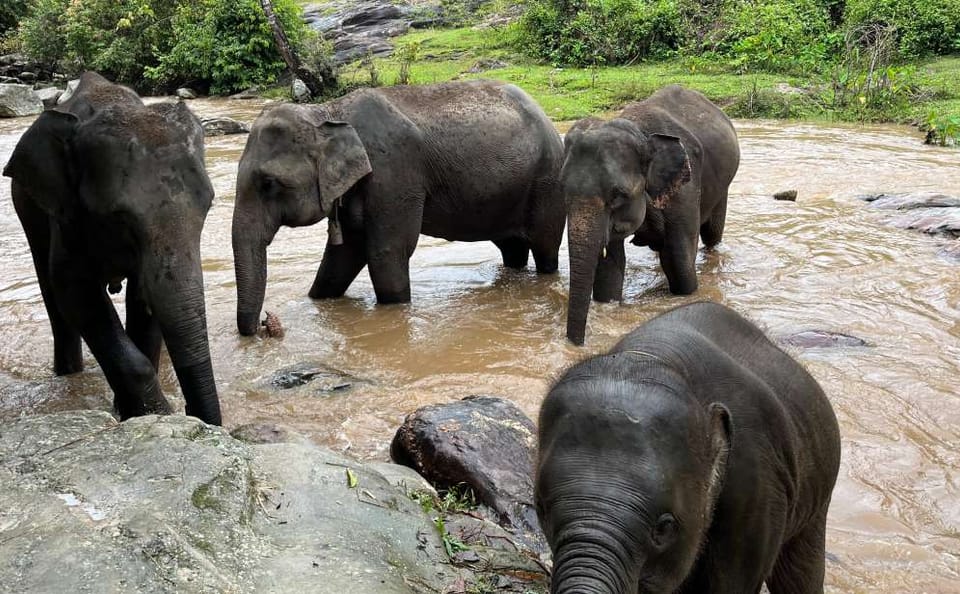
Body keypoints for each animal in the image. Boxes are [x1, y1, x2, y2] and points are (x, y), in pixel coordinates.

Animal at [2, 71, 221, 425]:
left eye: (209, 204)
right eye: (120, 216)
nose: (195, 414)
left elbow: (144, 301)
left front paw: (135, 412)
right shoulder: (67, 215)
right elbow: (75, 294)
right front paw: (155, 413)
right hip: (27, 203)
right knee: (51, 293)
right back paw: (67, 373)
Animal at [232, 80, 565, 335]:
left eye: (268, 184)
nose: (264, 326)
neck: (329, 111)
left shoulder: (393, 173)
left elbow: (386, 253)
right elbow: (342, 256)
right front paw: (317, 300)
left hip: (546, 182)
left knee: (545, 247)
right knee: (512, 248)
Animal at [562, 85, 740, 345]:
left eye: (618, 195)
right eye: (561, 189)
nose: (577, 345)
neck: (640, 133)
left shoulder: (685, 192)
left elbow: (679, 263)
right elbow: (610, 268)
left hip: (722, 187)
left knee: (711, 235)